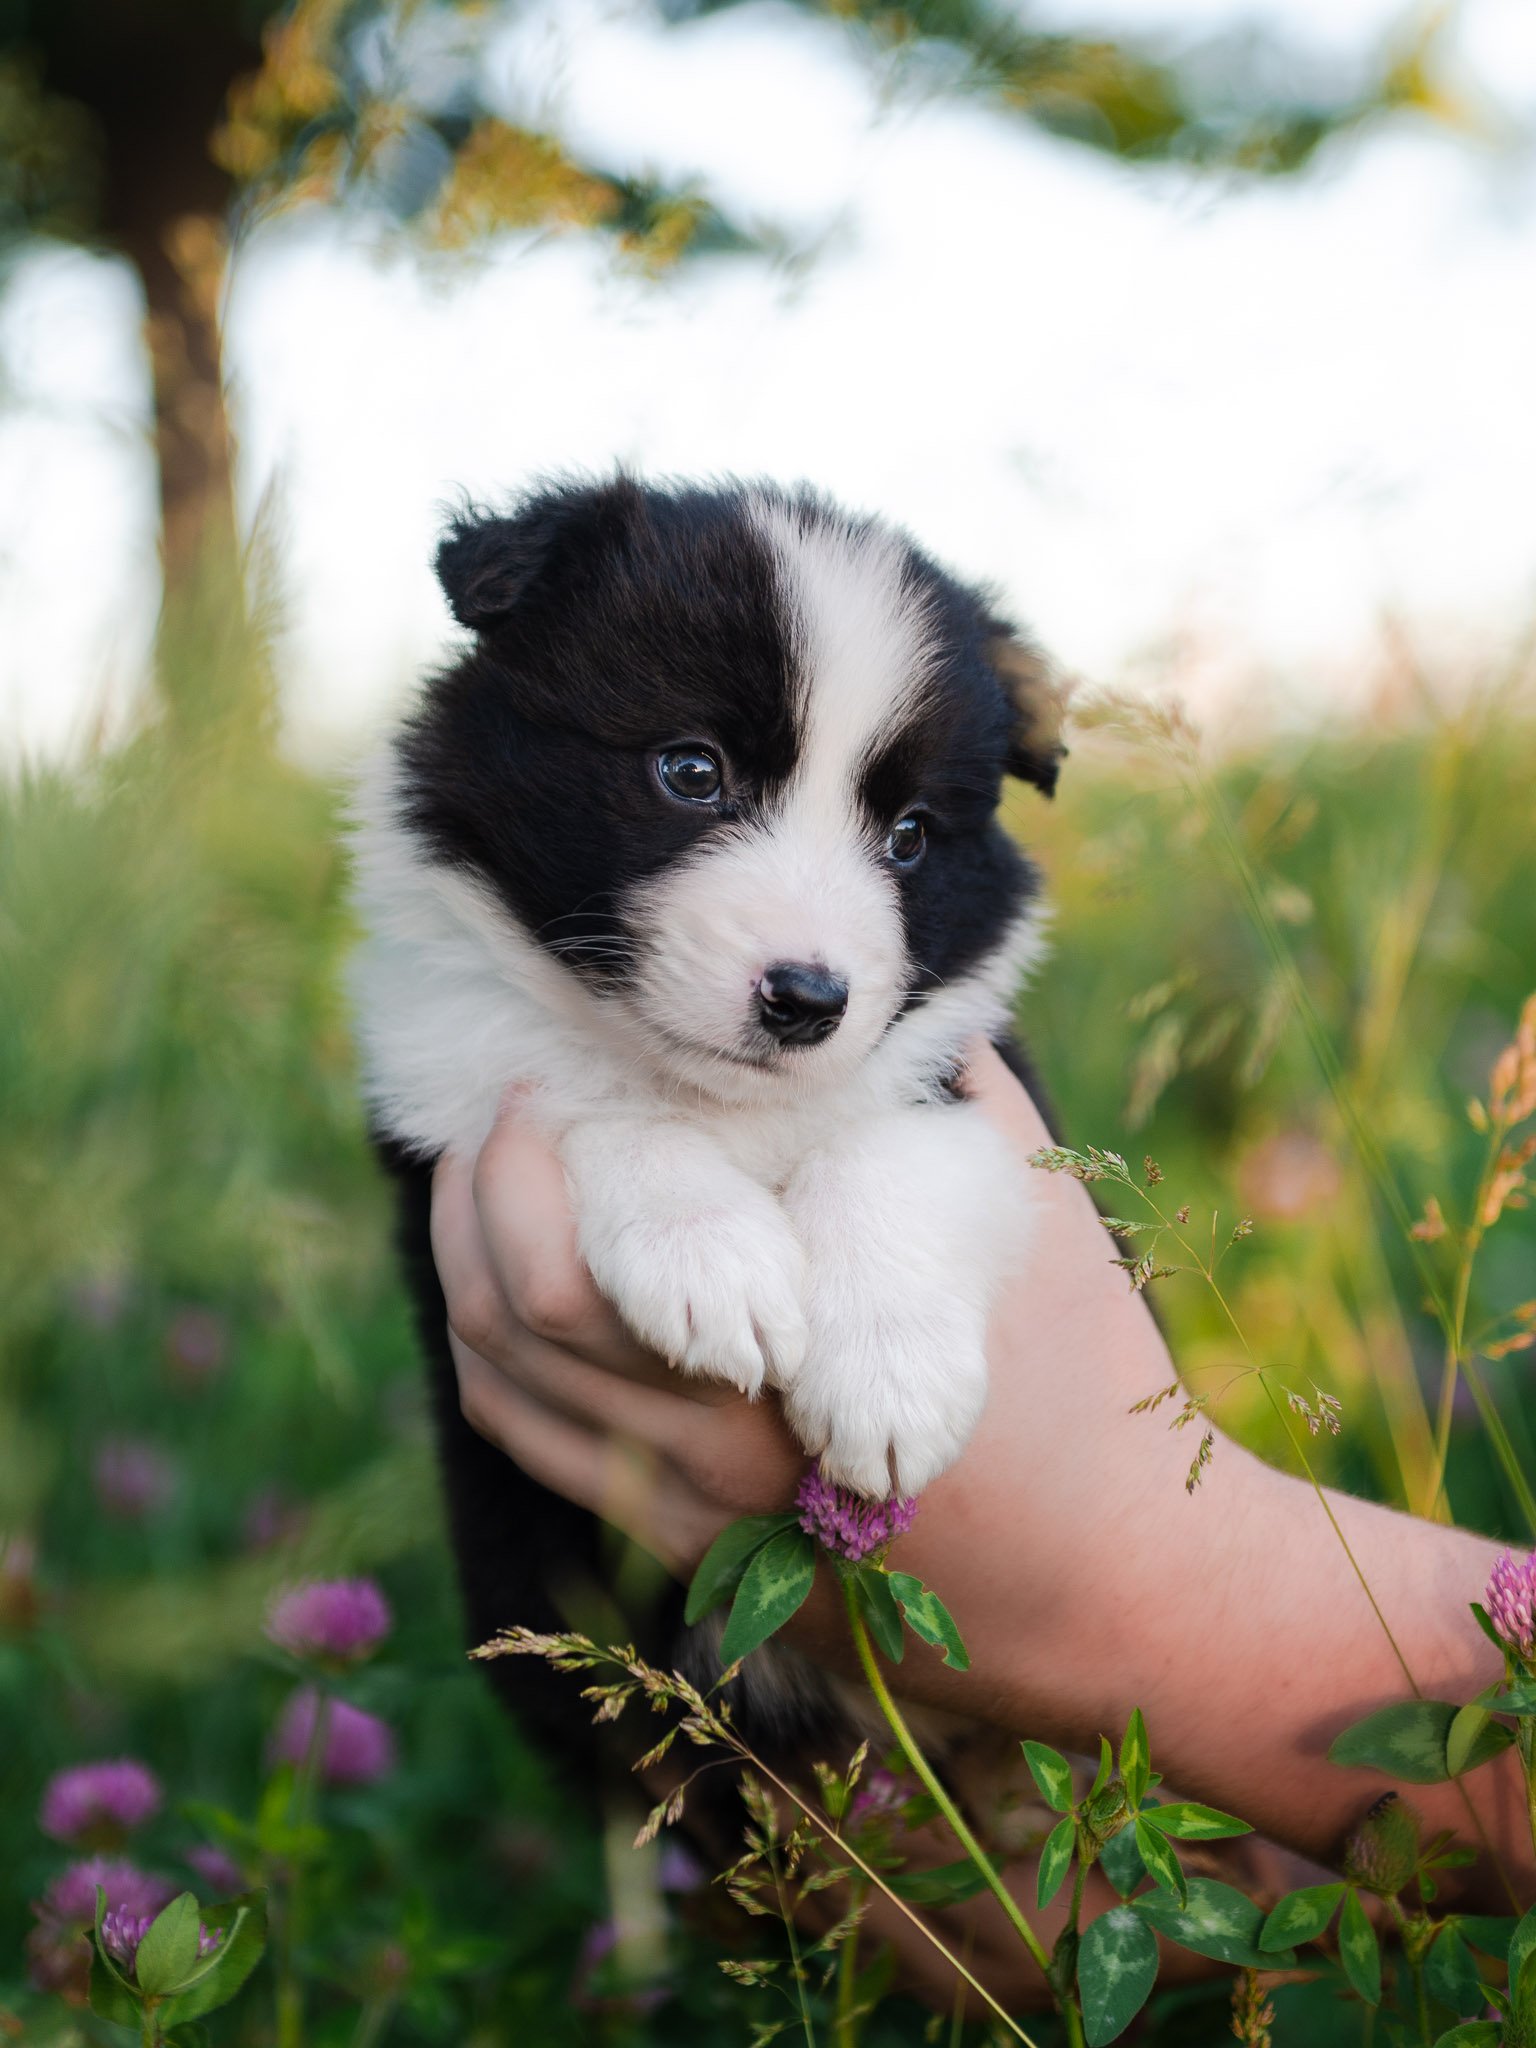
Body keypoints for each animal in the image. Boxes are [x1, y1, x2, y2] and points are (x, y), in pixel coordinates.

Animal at [354, 471, 1064, 1736]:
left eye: (911, 835)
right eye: (691, 770)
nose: (809, 998)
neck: (727, 1096)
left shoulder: (974, 1076)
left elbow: (884, 1150)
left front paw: (888, 1381)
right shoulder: (443, 1070)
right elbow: (578, 1096)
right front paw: (710, 1259)